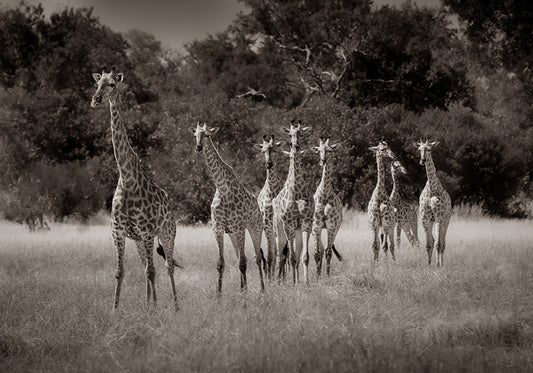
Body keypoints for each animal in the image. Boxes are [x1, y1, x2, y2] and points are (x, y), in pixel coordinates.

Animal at [91, 68, 179, 310]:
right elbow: (120, 272)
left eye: (112, 84)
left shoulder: (148, 232)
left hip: (167, 233)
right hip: (140, 241)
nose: (96, 99)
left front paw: (155, 309)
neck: (128, 179)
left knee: (166, 267)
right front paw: (115, 309)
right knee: (146, 267)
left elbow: (152, 271)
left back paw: (175, 306)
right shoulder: (118, 232)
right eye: (96, 84)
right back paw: (148, 304)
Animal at [191, 122, 266, 294]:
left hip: (255, 228)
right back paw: (243, 288)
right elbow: (221, 263)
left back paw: (262, 290)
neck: (222, 188)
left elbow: (243, 263)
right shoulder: (218, 228)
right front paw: (219, 294)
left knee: (257, 258)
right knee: (242, 257)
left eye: (207, 135)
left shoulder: (239, 227)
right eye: (195, 135)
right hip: (232, 233)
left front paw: (245, 295)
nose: (198, 147)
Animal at [272, 120, 314, 284]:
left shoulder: (306, 224)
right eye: (290, 134)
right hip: (279, 233)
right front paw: (294, 284)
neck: (296, 191)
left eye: (301, 133)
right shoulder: (288, 225)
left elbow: (304, 257)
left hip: (296, 232)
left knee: (294, 254)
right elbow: (291, 257)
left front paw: (306, 283)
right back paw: (280, 281)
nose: (295, 146)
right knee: (281, 256)